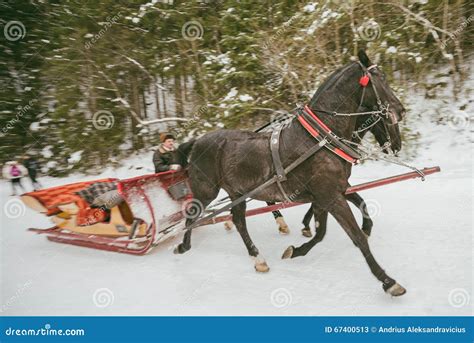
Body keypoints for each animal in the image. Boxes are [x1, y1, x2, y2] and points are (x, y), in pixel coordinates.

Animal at [175, 49, 408, 296]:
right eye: (380, 78)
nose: (400, 111)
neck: (320, 138)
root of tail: (196, 141)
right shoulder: (331, 196)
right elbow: (356, 237)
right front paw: (388, 281)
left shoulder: (330, 193)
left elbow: (325, 229)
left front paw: (296, 250)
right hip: (206, 190)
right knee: (193, 213)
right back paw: (184, 245)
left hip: (237, 192)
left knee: (238, 221)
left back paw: (257, 257)